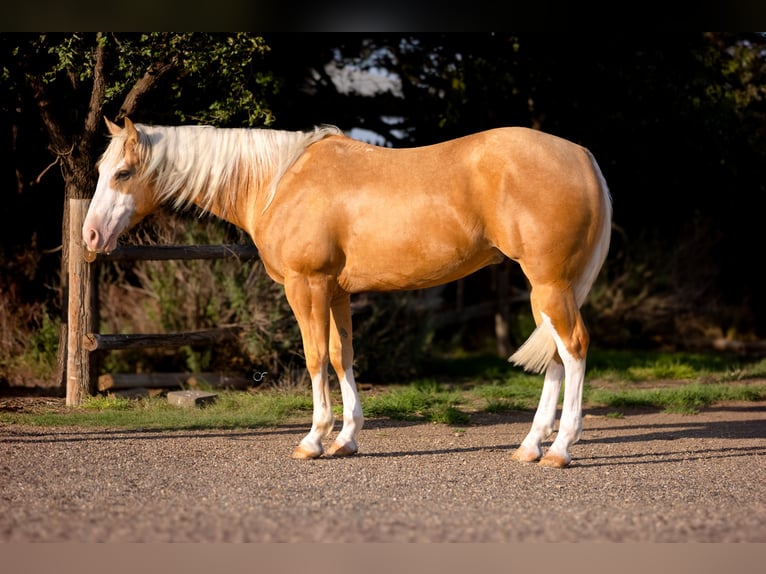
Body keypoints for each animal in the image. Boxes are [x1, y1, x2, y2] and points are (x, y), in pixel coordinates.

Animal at [83, 117, 612, 468]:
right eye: (100, 170)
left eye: (123, 173)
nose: (90, 236)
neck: (278, 182)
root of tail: (584, 157)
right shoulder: (336, 292)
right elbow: (342, 357)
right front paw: (347, 439)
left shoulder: (307, 285)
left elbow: (315, 357)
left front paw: (314, 440)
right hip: (546, 288)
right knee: (556, 356)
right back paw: (530, 446)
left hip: (550, 284)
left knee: (574, 348)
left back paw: (560, 449)